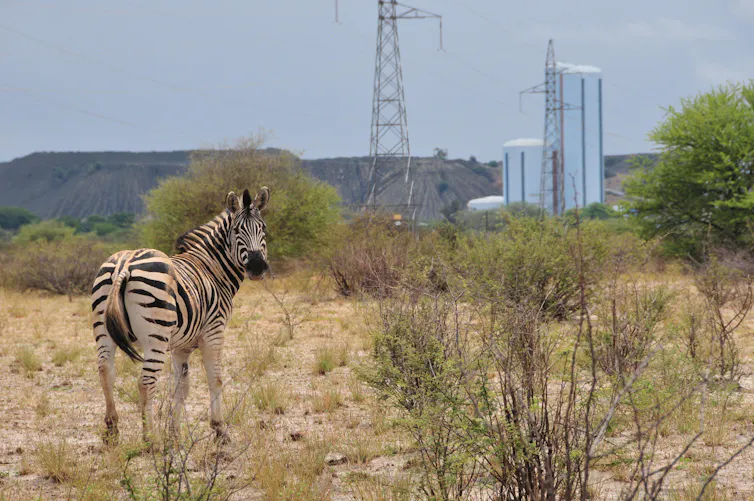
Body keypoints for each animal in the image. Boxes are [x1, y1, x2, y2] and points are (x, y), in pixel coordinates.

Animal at [91, 187, 270, 445]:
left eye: (263, 228)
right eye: (237, 231)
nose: (257, 267)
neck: (212, 268)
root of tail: (125, 263)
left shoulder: (180, 347)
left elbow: (181, 388)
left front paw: (174, 434)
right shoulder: (214, 331)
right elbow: (215, 379)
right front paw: (219, 430)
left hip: (103, 330)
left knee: (106, 372)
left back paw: (112, 431)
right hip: (155, 336)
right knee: (145, 383)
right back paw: (150, 440)